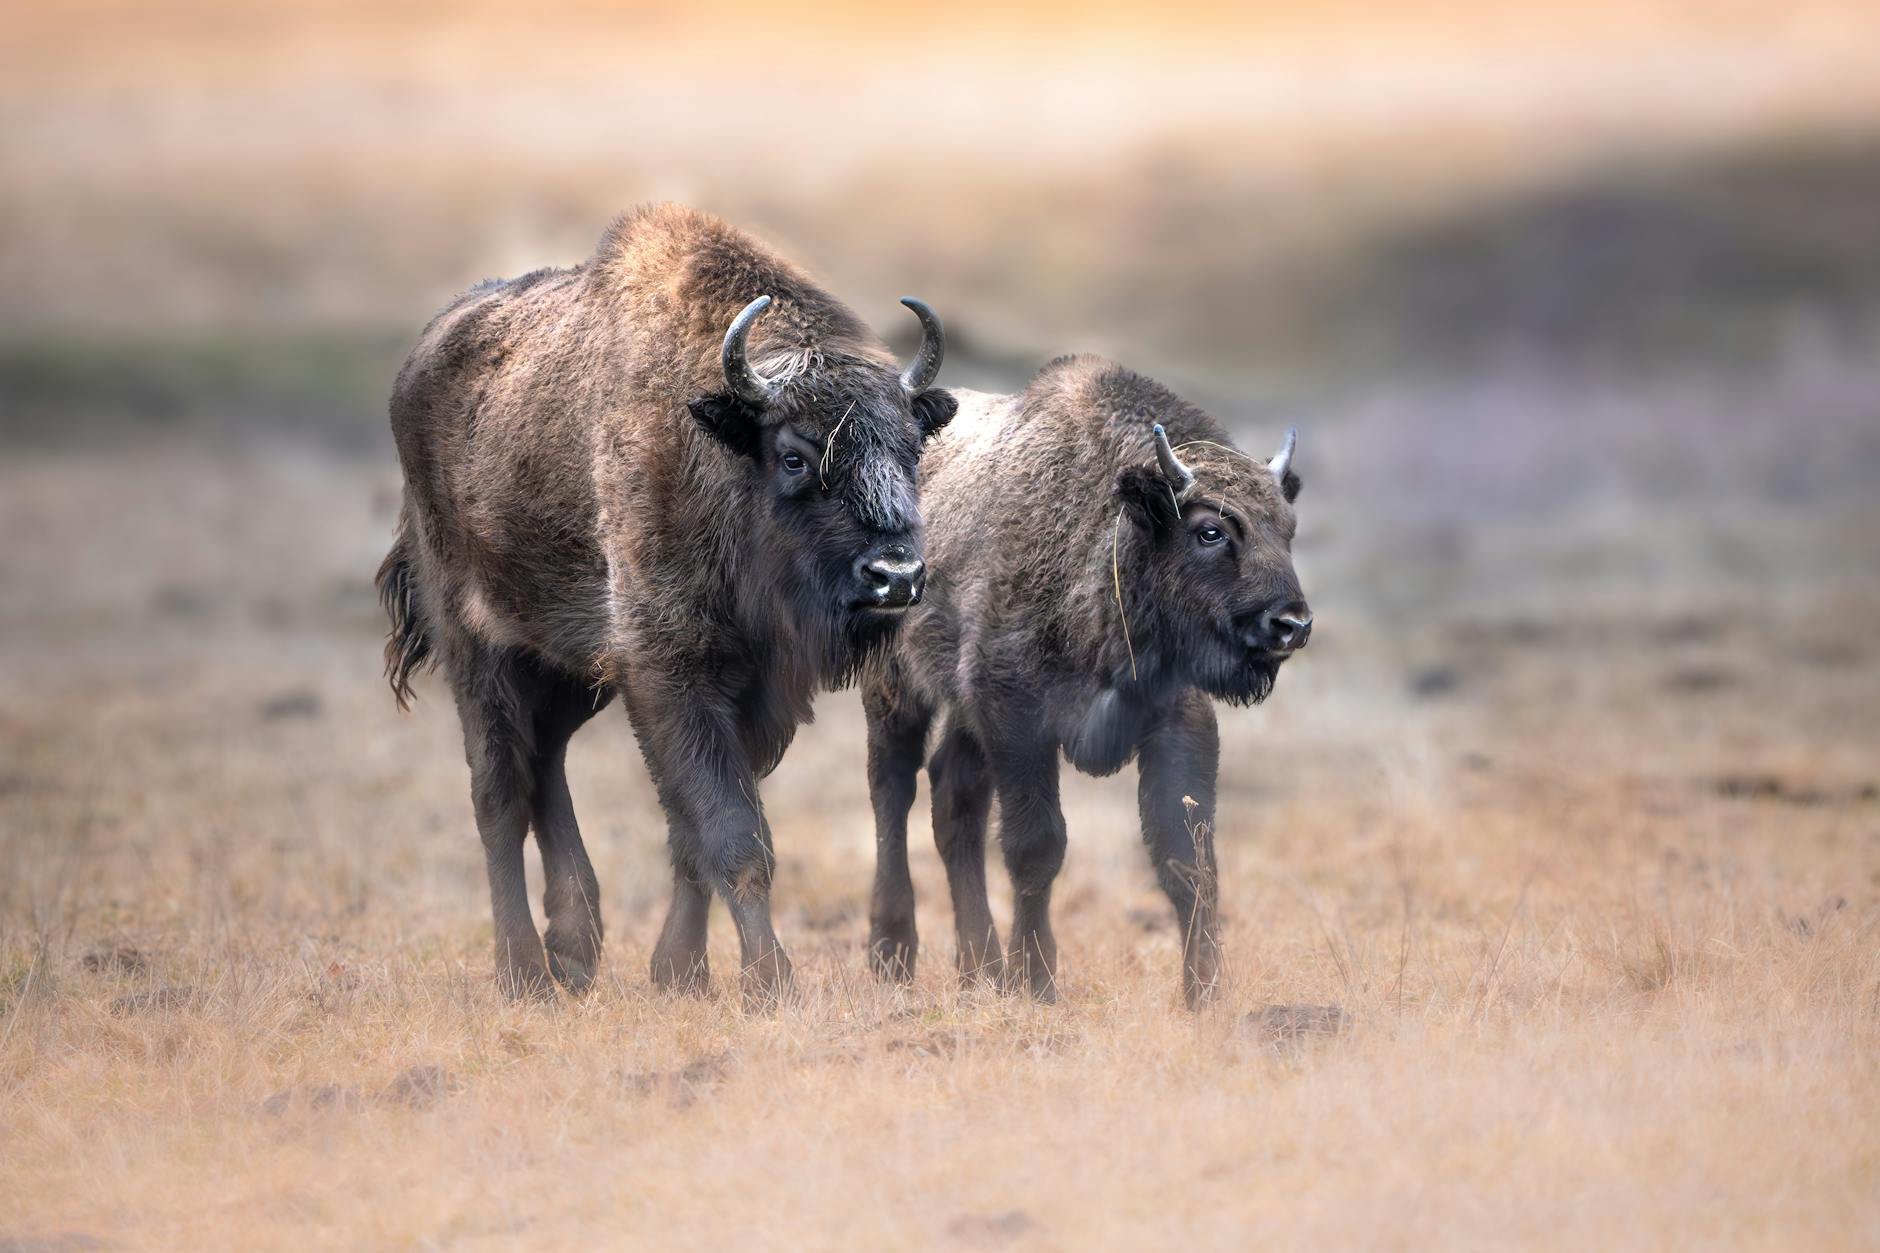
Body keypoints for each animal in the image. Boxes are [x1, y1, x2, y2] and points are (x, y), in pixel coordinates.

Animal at [377, 204, 956, 1003]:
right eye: (795, 455)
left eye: (911, 450)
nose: (894, 575)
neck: (719, 451)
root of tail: (421, 361)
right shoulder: (669, 671)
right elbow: (733, 833)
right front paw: (770, 982)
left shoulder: (745, 693)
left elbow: (692, 835)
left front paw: (679, 973)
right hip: (476, 644)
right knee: (499, 788)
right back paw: (524, 973)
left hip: (572, 666)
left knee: (543, 761)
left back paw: (574, 952)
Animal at [859, 355, 1308, 1007]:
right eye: (1210, 530)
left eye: (1287, 528)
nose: (1291, 623)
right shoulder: (1017, 719)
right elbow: (1037, 847)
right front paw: (1037, 982)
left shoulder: (1177, 721)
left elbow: (1186, 857)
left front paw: (1203, 994)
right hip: (895, 689)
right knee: (893, 790)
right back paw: (892, 955)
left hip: (964, 713)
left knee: (953, 799)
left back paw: (979, 968)